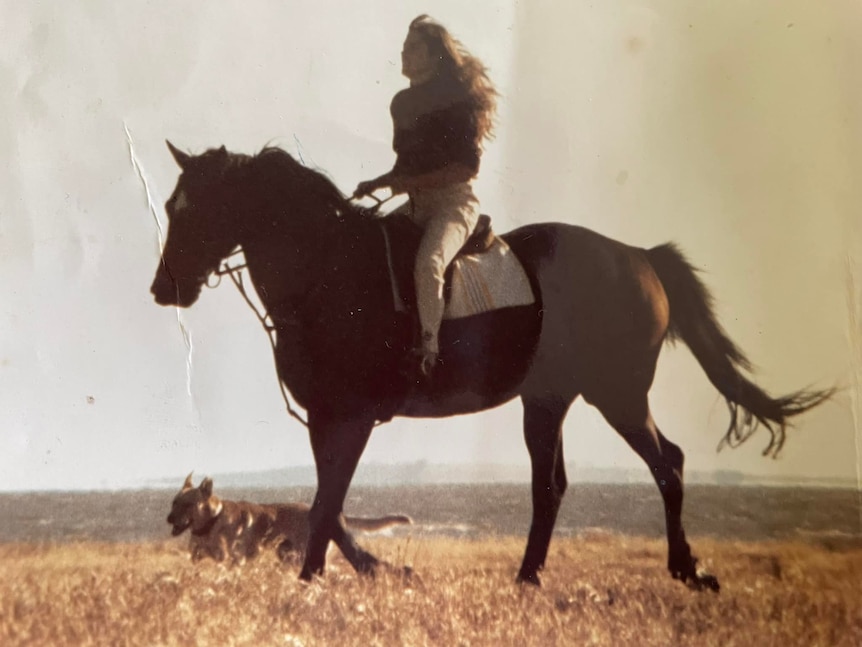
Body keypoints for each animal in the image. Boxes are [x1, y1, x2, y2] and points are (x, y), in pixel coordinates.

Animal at [168, 474, 416, 564]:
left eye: (187, 504)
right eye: (173, 502)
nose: (169, 519)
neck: (212, 522)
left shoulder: (232, 561)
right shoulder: (197, 560)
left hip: (300, 556)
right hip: (286, 555)